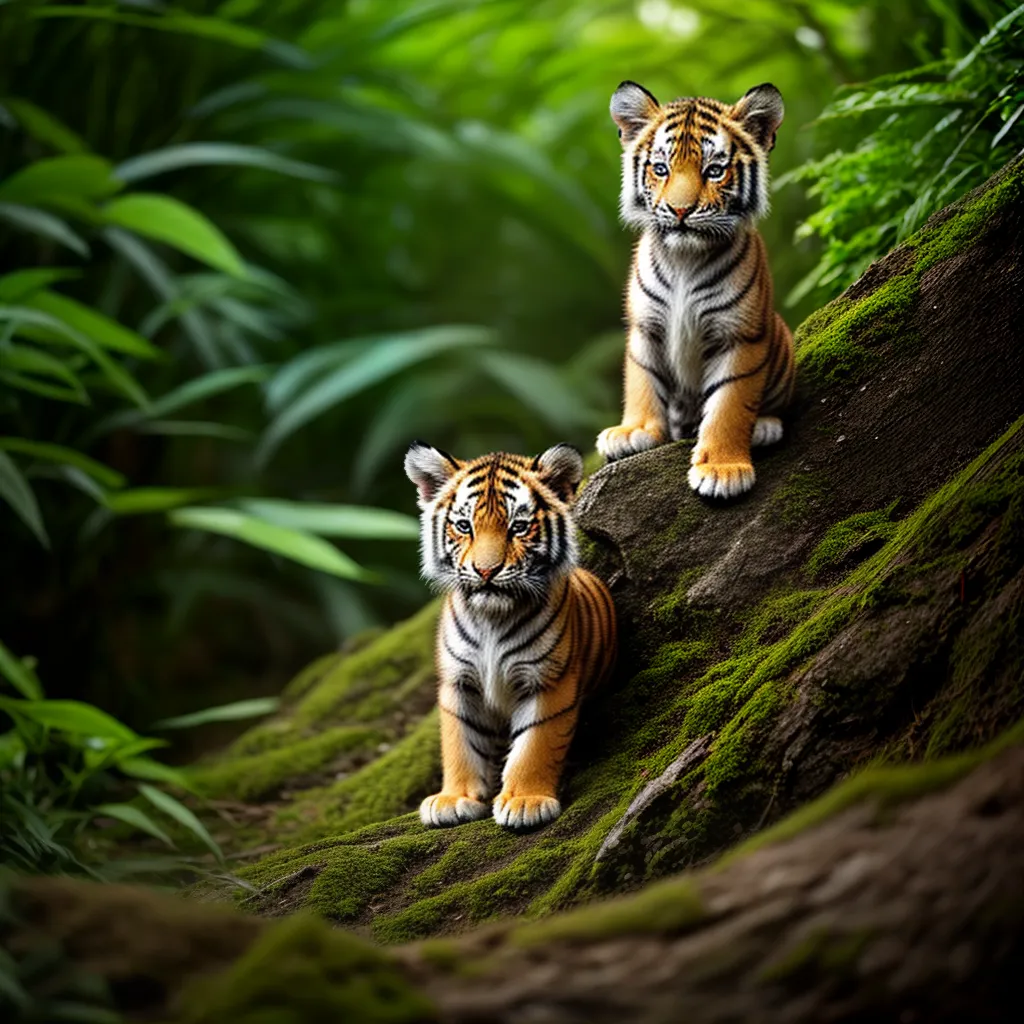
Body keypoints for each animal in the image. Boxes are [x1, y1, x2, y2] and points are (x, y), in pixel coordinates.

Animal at [404, 441, 616, 829]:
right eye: (464, 526)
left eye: (518, 527)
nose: (486, 571)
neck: (492, 616)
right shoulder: (459, 681)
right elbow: (460, 742)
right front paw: (454, 799)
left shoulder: (548, 680)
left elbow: (536, 744)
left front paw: (526, 801)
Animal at [596, 80, 796, 499]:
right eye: (660, 169)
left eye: (714, 171)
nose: (680, 211)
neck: (684, 258)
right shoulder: (646, 327)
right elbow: (641, 380)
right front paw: (634, 432)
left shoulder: (740, 335)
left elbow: (729, 405)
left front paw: (723, 470)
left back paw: (764, 427)